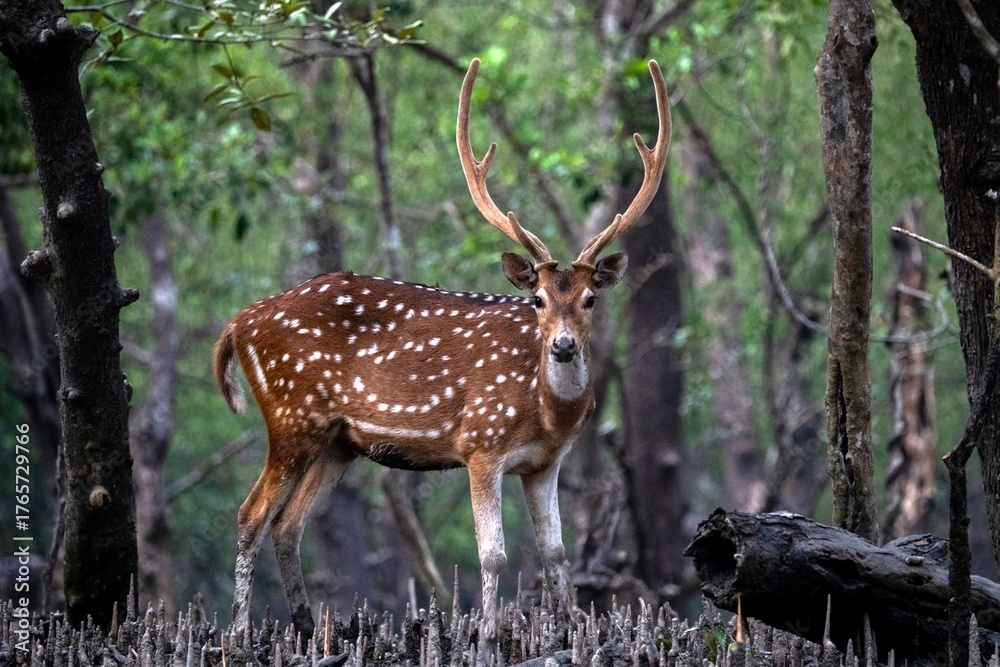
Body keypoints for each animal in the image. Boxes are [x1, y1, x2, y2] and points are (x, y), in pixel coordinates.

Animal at [213, 57, 670, 647]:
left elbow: (555, 553)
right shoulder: (480, 444)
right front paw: (488, 637)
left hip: (338, 441)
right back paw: (238, 634)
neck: (547, 412)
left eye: (591, 298)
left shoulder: (547, 463)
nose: (564, 345)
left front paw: (567, 633)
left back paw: (309, 628)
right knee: (251, 515)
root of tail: (237, 324)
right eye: (539, 299)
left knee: (289, 523)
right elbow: (494, 555)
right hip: (291, 415)